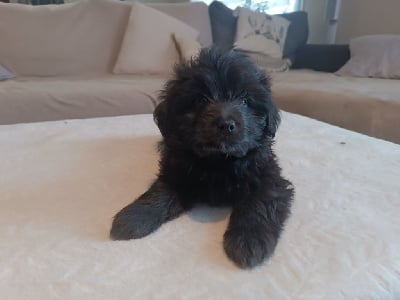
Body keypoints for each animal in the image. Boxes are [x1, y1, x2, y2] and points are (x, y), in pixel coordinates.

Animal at [110, 48, 294, 268]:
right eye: (201, 100)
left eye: (245, 100)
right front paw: (133, 218)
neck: (219, 161)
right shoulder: (176, 171)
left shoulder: (270, 178)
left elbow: (260, 204)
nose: (226, 124)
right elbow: (159, 193)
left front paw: (249, 240)